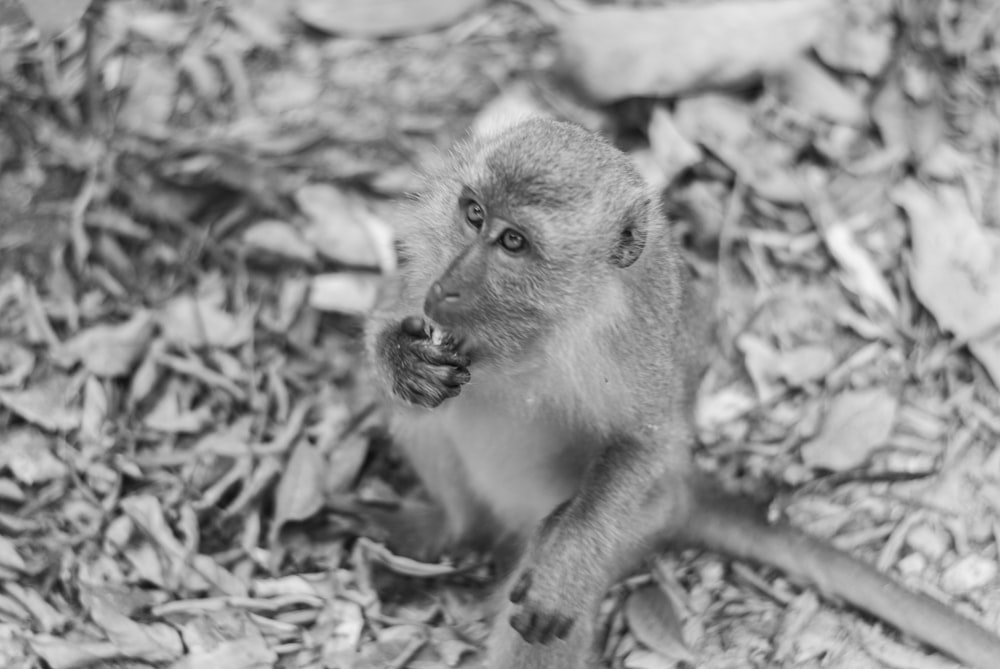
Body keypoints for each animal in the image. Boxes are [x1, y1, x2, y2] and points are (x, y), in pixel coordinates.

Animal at [364, 117, 1000, 664]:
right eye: (473, 214)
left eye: (513, 242)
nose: (447, 288)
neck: (539, 329)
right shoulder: (428, 281)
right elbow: (389, 325)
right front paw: (400, 356)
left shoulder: (632, 345)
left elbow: (647, 441)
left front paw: (568, 556)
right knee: (421, 414)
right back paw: (452, 526)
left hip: (641, 523)